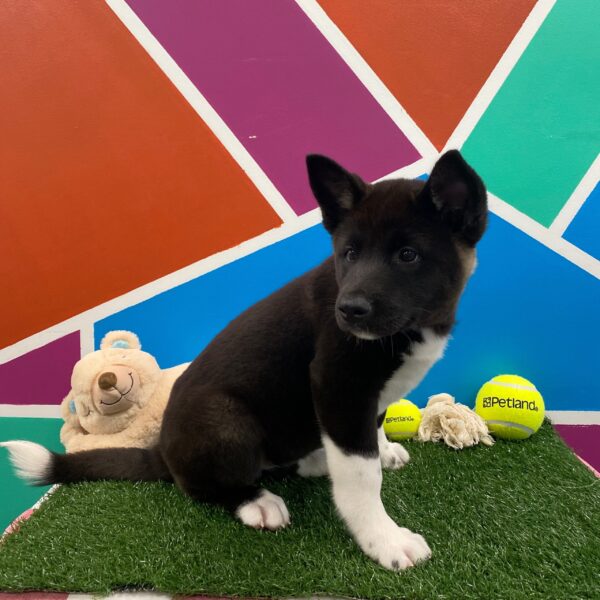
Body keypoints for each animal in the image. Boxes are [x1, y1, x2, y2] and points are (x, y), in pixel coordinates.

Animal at [2, 150, 486, 572]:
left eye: (408, 255)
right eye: (349, 253)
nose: (348, 311)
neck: (413, 327)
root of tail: (162, 452)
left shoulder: (362, 400)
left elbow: (374, 430)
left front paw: (382, 451)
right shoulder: (337, 385)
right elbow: (360, 477)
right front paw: (384, 540)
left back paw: (312, 461)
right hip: (225, 420)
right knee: (200, 486)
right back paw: (256, 501)